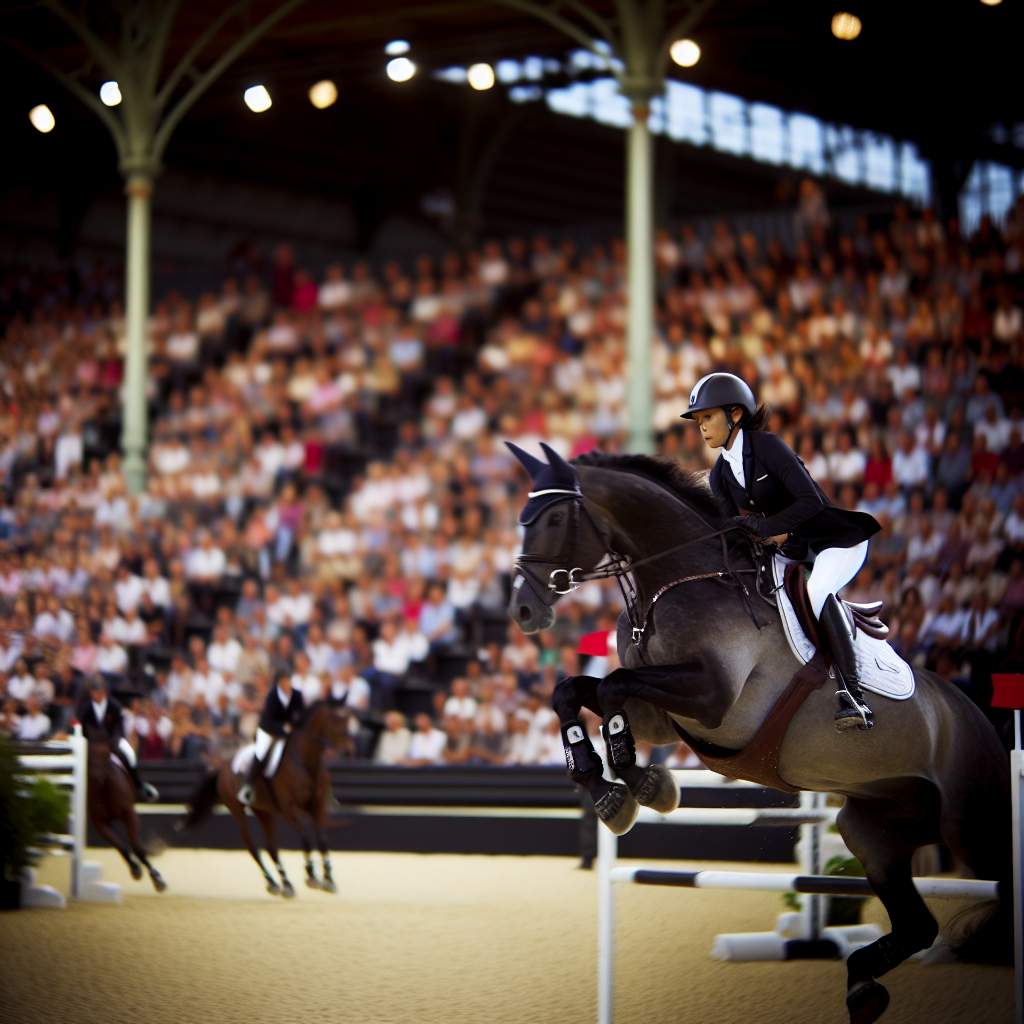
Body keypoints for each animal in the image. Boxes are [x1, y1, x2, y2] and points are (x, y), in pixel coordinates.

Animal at [82, 729, 165, 888]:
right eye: (87, 758)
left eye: (104, 754)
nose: (96, 779)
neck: (104, 788)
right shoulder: (101, 823)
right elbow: (121, 846)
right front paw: (135, 869)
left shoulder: (129, 814)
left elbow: (136, 846)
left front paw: (157, 878)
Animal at [184, 704, 356, 897]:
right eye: (335, 726)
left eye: (347, 725)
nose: (349, 751)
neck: (306, 763)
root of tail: (222, 768)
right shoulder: (289, 810)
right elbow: (305, 838)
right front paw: (311, 876)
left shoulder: (317, 807)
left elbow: (322, 840)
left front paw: (328, 880)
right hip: (237, 810)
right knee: (252, 847)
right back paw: (272, 883)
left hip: (263, 811)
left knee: (271, 847)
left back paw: (286, 884)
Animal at [503, 444, 1007, 1024]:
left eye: (553, 519)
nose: (523, 610)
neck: (677, 578)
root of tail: (978, 718)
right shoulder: (661, 716)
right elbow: (576, 692)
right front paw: (614, 790)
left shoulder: (713, 700)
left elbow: (611, 688)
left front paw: (640, 785)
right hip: (873, 829)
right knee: (917, 924)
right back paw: (862, 987)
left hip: (970, 827)